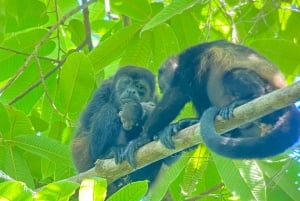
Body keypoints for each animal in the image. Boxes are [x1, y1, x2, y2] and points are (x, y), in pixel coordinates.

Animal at [123, 40, 300, 166]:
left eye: (162, 84)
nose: (162, 88)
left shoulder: (189, 62)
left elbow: (176, 94)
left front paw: (142, 139)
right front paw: (181, 124)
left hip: (265, 89)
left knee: (231, 75)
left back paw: (249, 98)